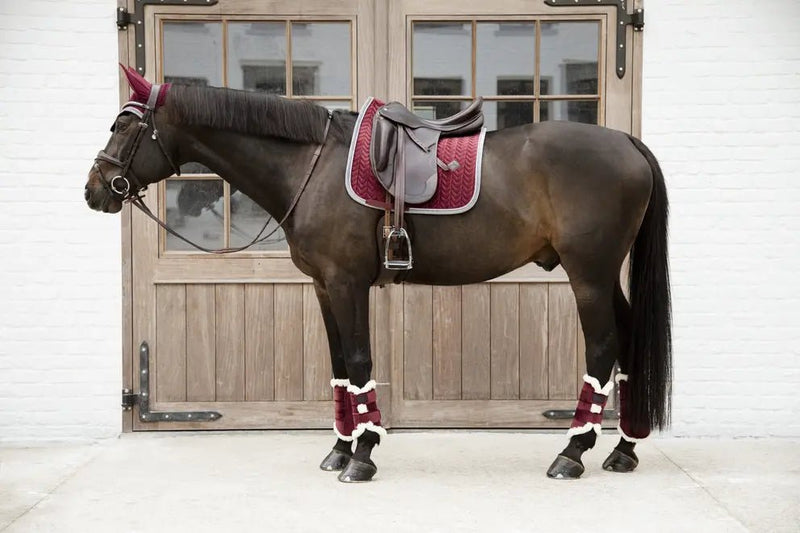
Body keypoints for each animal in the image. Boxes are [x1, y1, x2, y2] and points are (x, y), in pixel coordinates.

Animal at [84, 69, 672, 482]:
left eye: (125, 125)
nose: (95, 189)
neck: (311, 167)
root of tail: (627, 142)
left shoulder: (347, 283)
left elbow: (362, 361)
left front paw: (363, 456)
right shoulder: (324, 286)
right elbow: (341, 368)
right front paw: (340, 448)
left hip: (588, 274)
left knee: (602, 346)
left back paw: (572, 452)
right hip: (603, 277)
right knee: (626, 342)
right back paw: (623, 448)